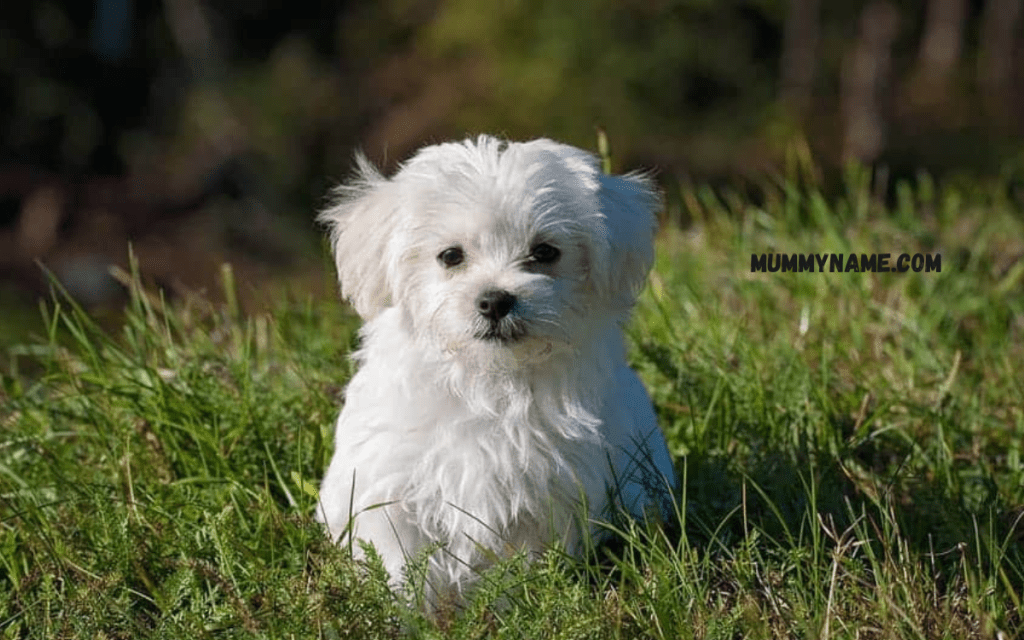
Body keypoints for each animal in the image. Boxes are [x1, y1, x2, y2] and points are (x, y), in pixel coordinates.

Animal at [315, 135, 675, 602]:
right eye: (450, 256)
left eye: (544, 252)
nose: (494, 300)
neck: (488, 380)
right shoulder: (389, 486)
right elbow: (399, 561)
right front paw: (406, 608)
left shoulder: (545, 496)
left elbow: (520, 564)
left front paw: (512, 603)